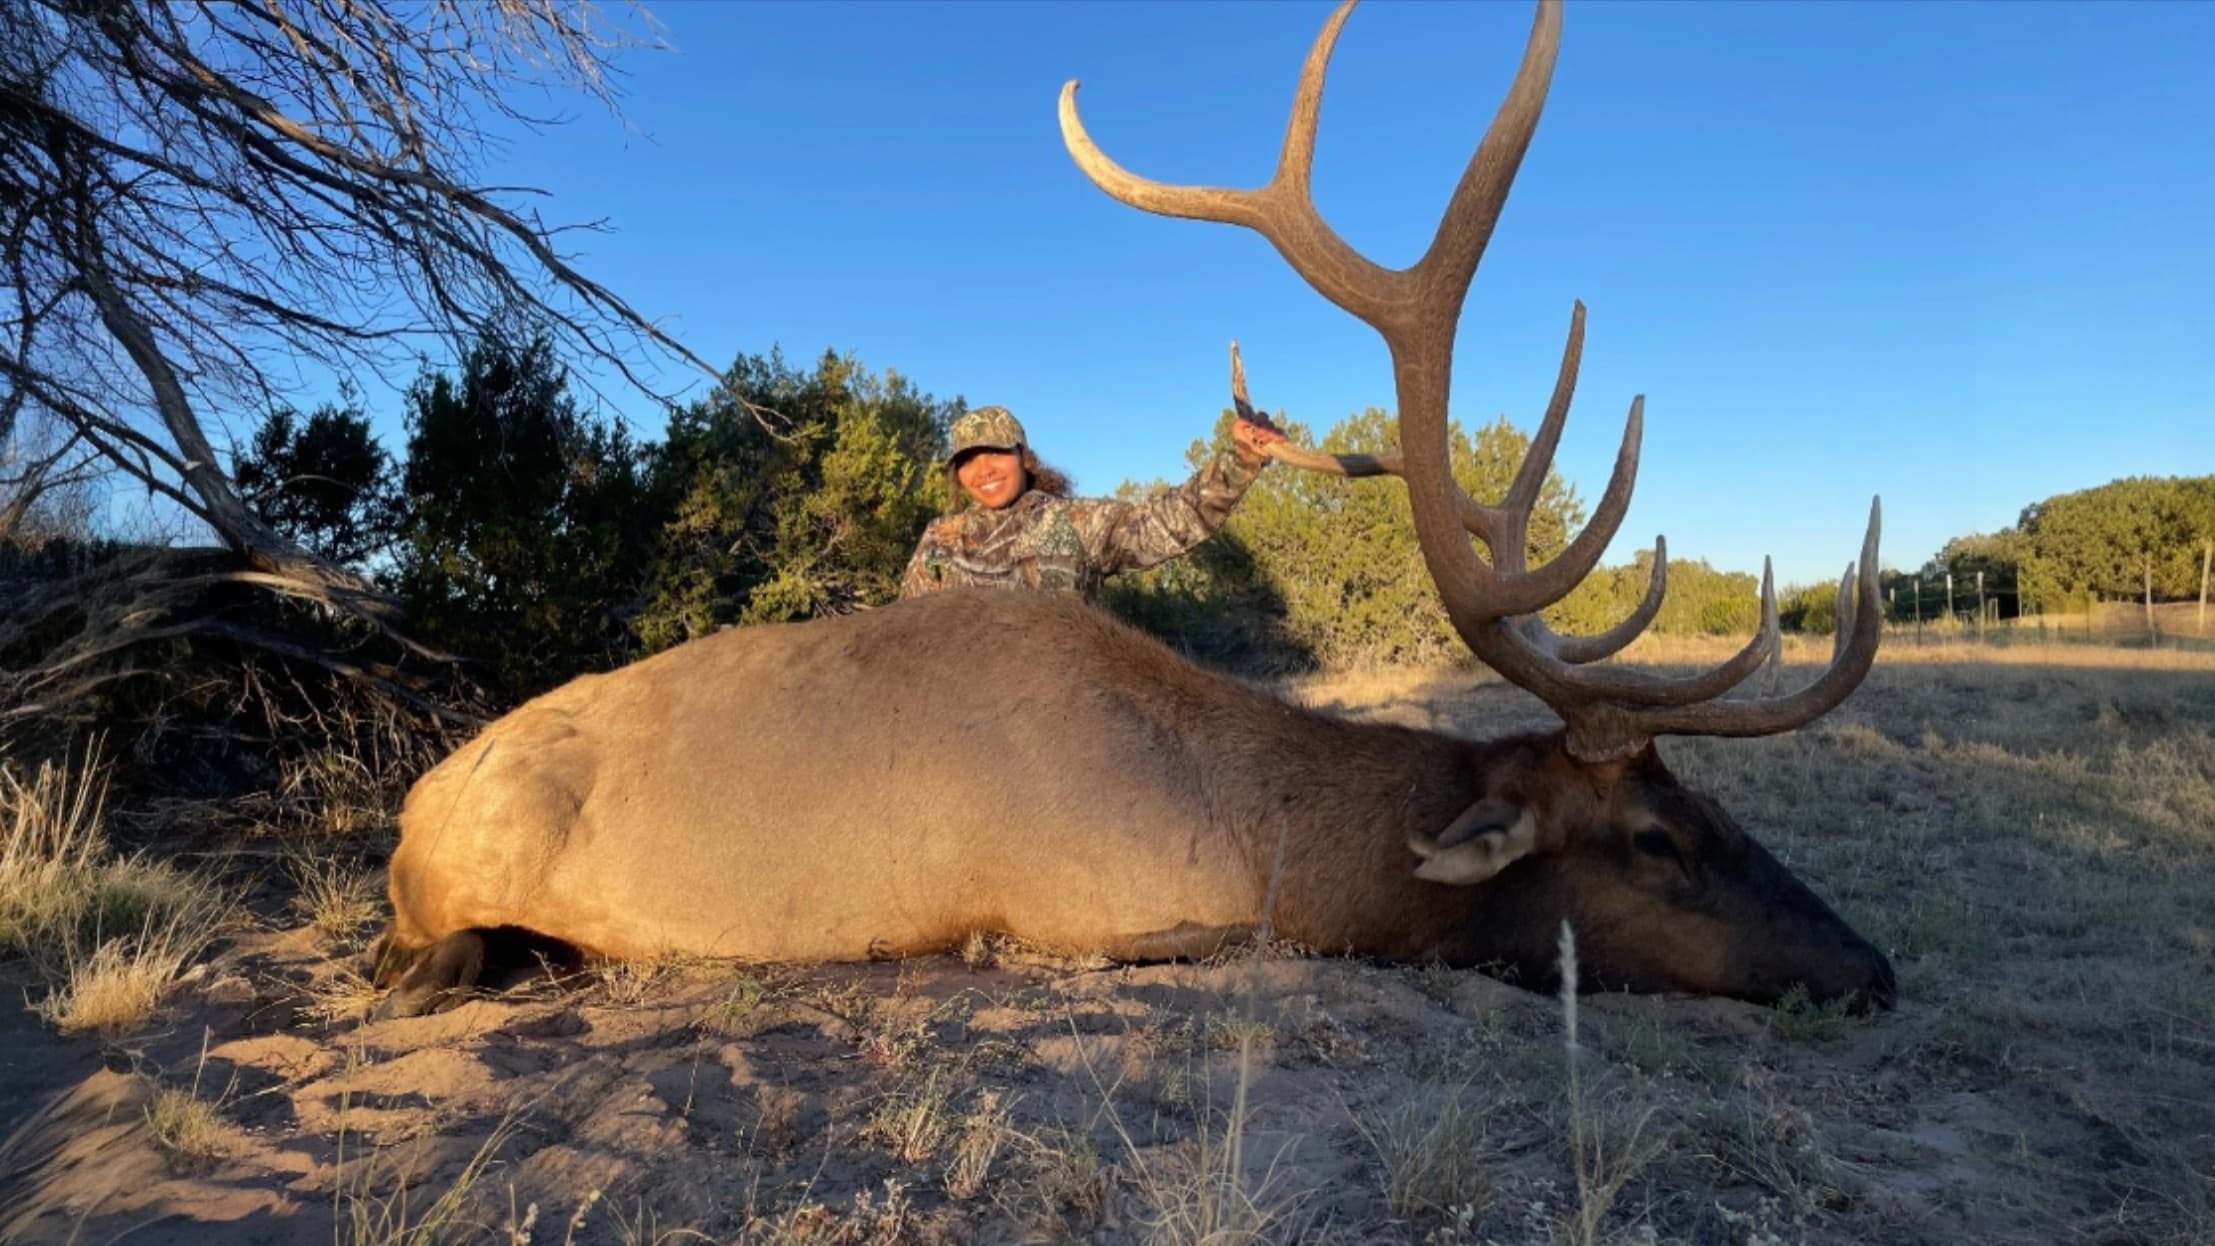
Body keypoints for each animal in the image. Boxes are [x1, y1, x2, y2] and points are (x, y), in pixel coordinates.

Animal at [371, 0, 1895, 1019]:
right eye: (1656, 841)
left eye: (1706, 806)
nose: (1871, 963)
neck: (1257, 836)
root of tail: (406, 806)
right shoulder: (1109, 911)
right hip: (460, 878)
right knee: (434, 957)